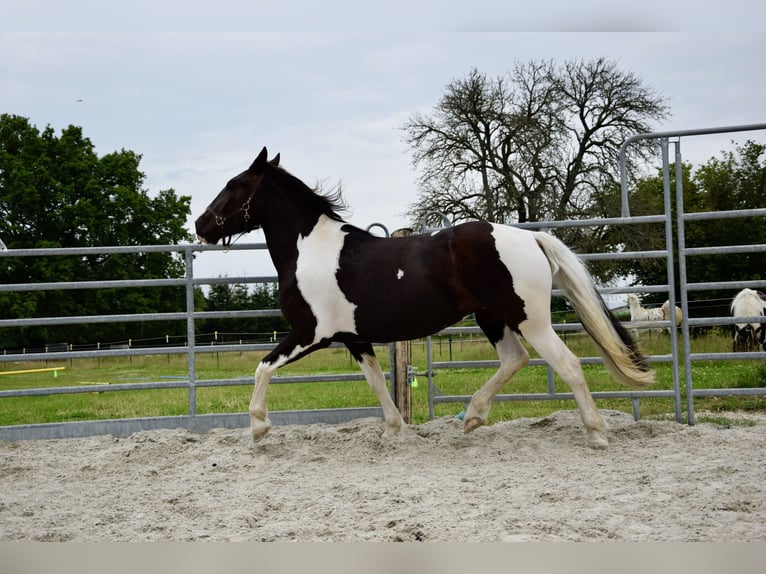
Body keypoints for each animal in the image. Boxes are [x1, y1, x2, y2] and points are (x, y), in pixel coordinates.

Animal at [196, 148, 656, 450]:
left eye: (234, 186)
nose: (201, 225)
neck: (309, 249)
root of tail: (531, 238)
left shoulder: (311, 333)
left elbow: (262, 367)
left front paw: (259, 428)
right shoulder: (354, 338)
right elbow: (376, 381)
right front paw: (394, 430)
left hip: (530, 319)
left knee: (568, 364)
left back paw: (596, 434)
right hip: (492, 317)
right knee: (515, 359)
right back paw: (472, 417)